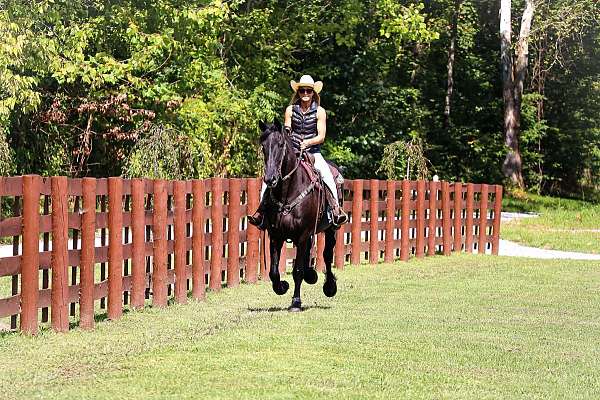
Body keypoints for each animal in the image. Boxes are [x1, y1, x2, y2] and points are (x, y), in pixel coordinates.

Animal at [258, 117, 338, 310]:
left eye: (280, 144)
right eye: (263, 146)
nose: (270, 179)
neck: (288, 192)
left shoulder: (302, 235)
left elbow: (298, 270)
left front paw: (295, 302)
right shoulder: (275, 235)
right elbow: (273, 271)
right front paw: (282, 287)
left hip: (331, 229)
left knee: (327, 254)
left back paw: (329, 286)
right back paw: (312, 275)